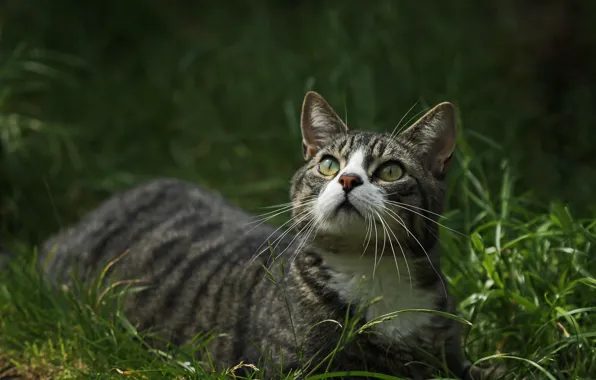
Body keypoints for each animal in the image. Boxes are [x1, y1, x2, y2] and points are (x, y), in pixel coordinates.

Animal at [39, 90, 502, 378]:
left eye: (390, 171)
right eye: (329, 164)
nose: (348, 180)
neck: (371, 268)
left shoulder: (449, 354)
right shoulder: (291, 368)